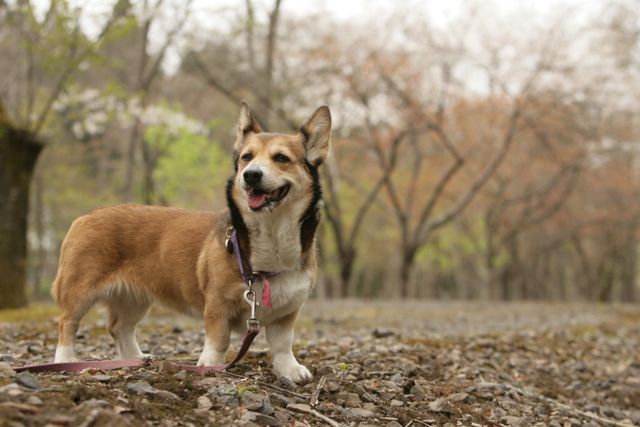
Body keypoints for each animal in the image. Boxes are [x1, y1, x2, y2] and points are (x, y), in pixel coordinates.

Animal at [50, 102, 330, 382]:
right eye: (246, 157)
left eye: (281, 158)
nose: (250, 175)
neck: (272, 234)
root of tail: (85, 216)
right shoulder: (217, 305)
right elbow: (219, 340)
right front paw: (210, 365)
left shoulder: (287, 313)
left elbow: (283, 344)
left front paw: (290, 370)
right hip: (81, 291)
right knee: (67, 322)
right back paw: (65, 359)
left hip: (134, 298)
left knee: (121, 327)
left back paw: (137, 359)